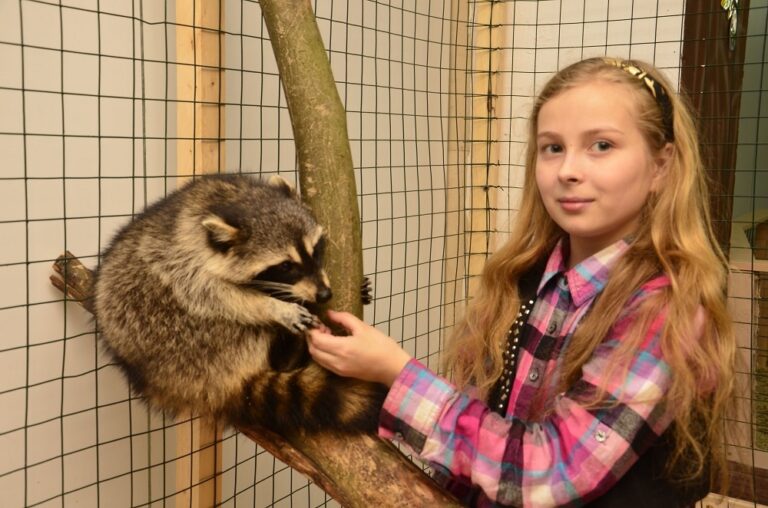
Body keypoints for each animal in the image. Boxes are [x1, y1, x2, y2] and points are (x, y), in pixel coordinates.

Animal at [94, 174, 388, 432]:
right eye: (285, 266)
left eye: (315, 250)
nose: (324, 295)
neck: (237, 199)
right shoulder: (180, 258)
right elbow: (209, 294)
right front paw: (274, 307)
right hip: (182, 336)